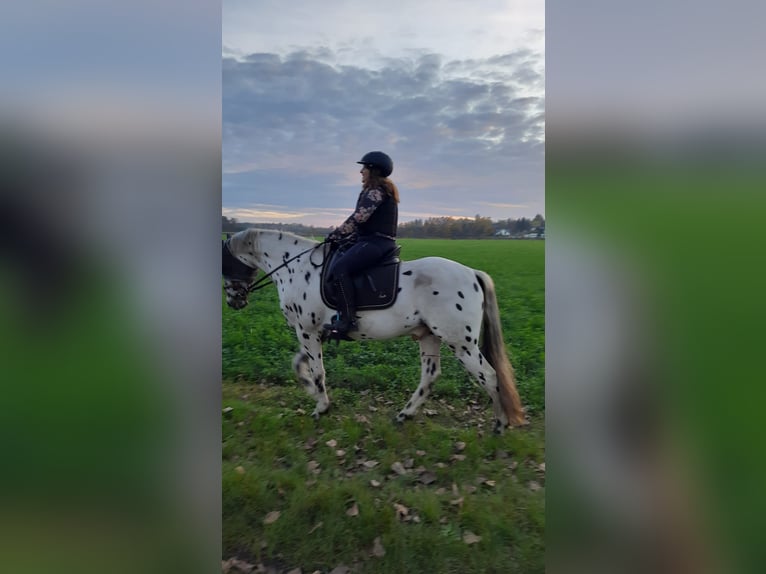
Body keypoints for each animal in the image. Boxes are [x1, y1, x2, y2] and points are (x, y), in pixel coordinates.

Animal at [224, 230, 528, 436]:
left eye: (226, 264)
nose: (234, 301)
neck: (297, 269)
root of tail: (472, 273)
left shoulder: (307, 332)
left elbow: (317, 371)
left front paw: (321, 406)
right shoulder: (313, 332)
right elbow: (299, 364)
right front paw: (312, 392)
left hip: (461, 344)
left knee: (490, 376)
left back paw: (499, 425)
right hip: (429, 337)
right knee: (430, 376)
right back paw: (405, 415)